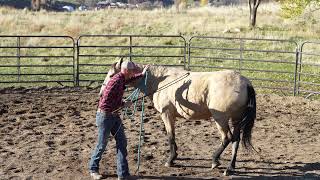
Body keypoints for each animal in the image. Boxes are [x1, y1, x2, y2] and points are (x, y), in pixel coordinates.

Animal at [104, 59, 256, 176]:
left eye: (111, 75)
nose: (102, 91)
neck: (159, 80)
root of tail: (245, 83)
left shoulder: (166, 114)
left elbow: (170, 136)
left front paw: (170, 160)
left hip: (221, 119)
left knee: (227, 138)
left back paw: (215, 160)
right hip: (236, 119)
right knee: (235, 140)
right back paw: (230, 167)